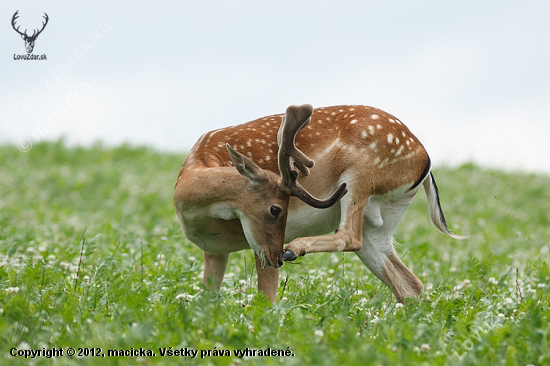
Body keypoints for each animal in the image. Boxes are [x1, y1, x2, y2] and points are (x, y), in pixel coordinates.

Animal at [175, 103, 464, 304]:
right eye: (276, 209)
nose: (278, 258)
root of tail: (426, 161)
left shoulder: (258, 246)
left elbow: (266, 300)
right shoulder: (215, 250)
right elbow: (207, 299)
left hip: (360, 172)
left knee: (349, 235)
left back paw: (295, 249)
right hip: (382, 222)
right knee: (410, 285)